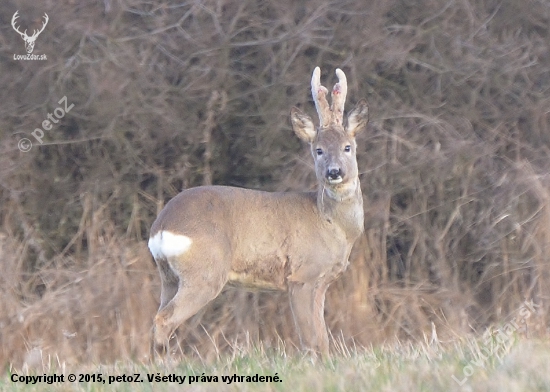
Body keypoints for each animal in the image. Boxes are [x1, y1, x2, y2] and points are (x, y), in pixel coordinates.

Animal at [149, 66, 368, 356]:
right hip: (205, 273)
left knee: (159, 315)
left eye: (347, 147)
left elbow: (322, 339)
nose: (334, 172)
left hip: (168, 277)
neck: (332, 224)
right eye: (318, 150)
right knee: (164, 318)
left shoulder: (322, 281)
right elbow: (310, 339)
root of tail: (162, 226)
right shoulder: (302, 275)